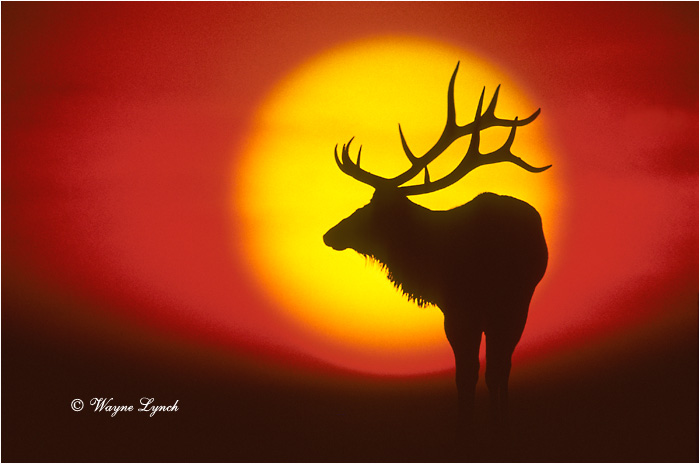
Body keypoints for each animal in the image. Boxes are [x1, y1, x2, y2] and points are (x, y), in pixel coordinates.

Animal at [323, 62, 550, 432]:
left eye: (374, 209)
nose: (330, 235)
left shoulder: (475, 308)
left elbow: (481, 372)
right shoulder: (460, 311)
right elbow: (467, 373)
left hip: (516, 303)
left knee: (502, 366)